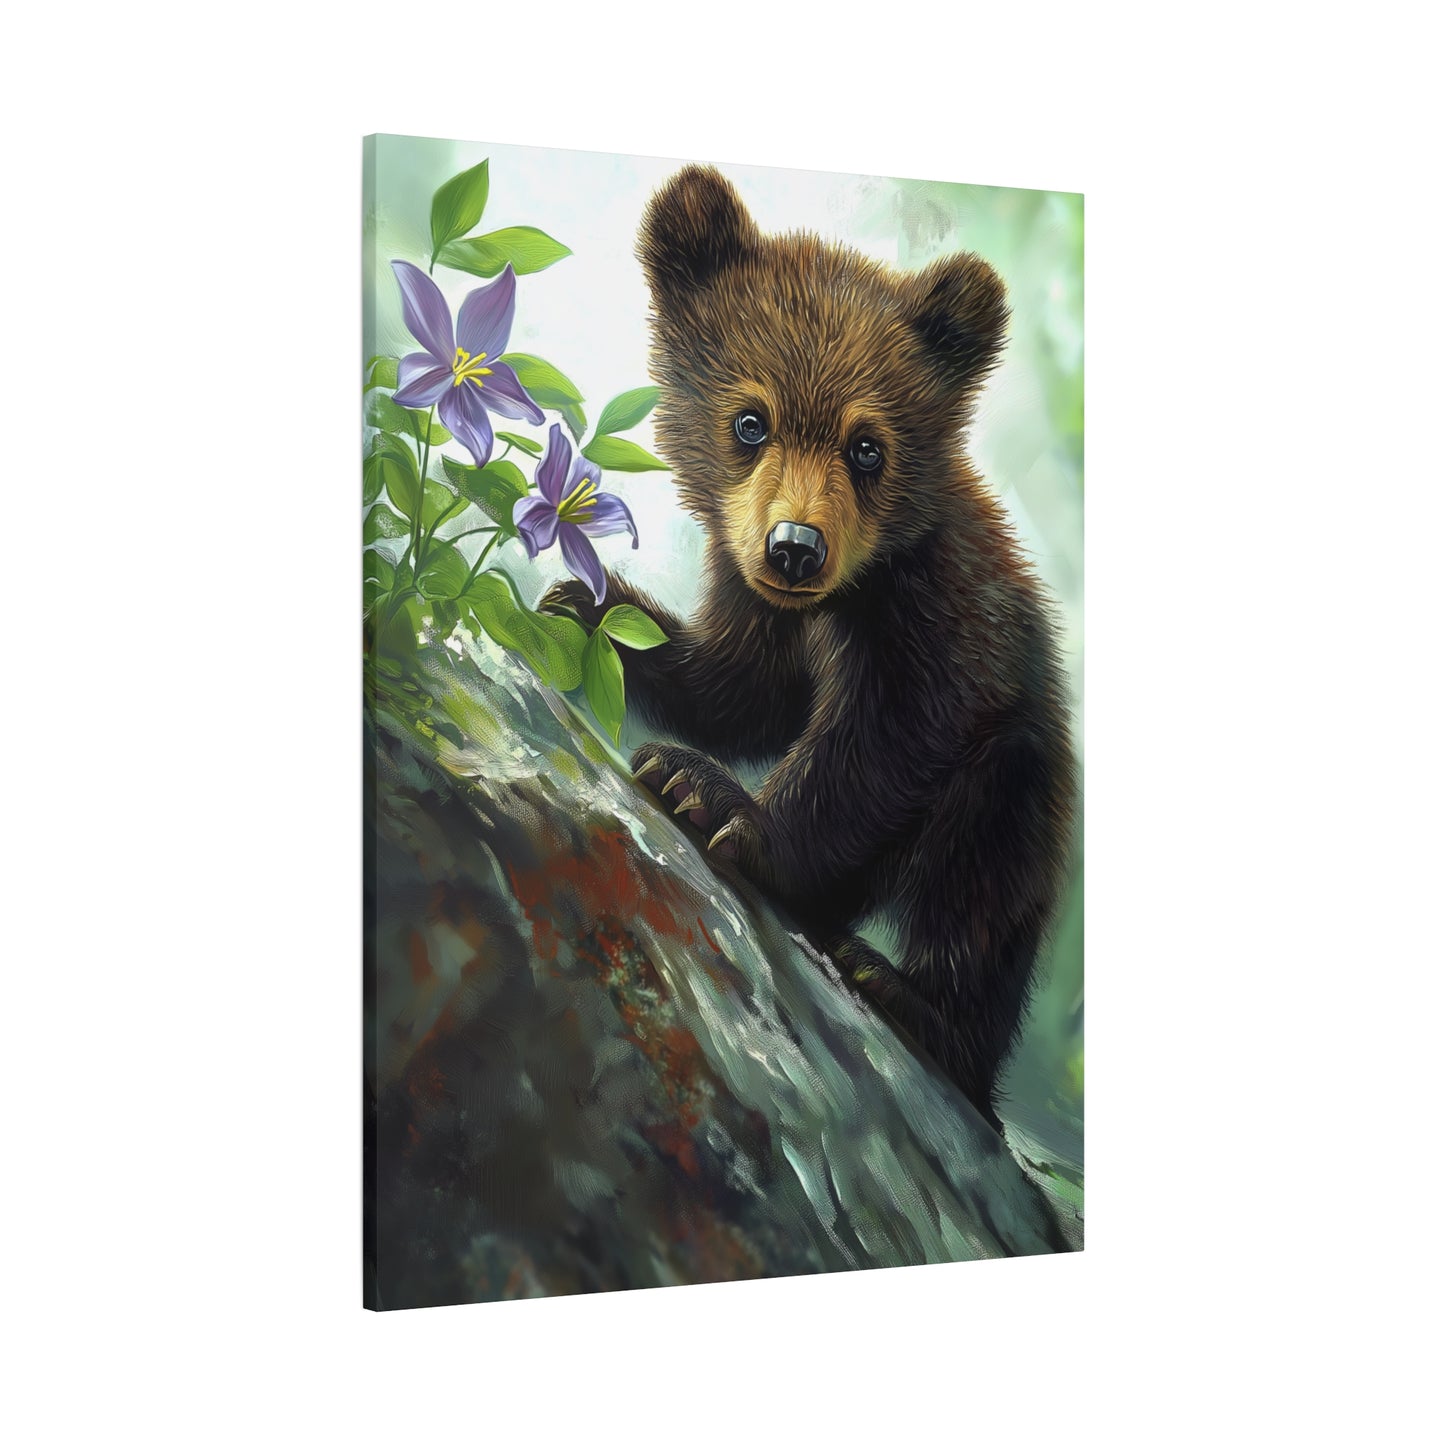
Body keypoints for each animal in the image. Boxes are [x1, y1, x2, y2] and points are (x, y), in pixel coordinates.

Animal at [544, 165, 1076, 1133]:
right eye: (750, 420)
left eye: (868, 446)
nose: (796, 545)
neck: (837, 601)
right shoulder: (755, 594)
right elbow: (741, 687)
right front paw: (590, 606)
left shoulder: (931, 615)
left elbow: (882, 741)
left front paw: (710, 794)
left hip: (1022, 779)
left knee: (990, 864)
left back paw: (908, 994)